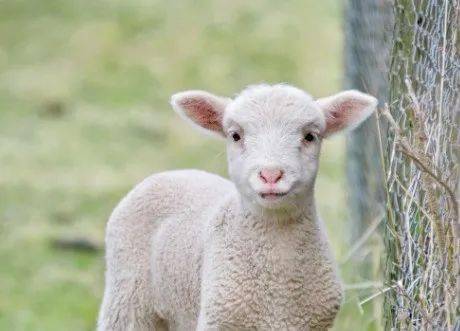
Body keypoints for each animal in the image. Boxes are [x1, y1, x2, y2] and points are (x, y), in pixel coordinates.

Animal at [97, 84, 378, 330]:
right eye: (235, 135)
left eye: (310, 136)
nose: (271, 175)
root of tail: (170, 174)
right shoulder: (218, 320)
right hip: (127, 299)